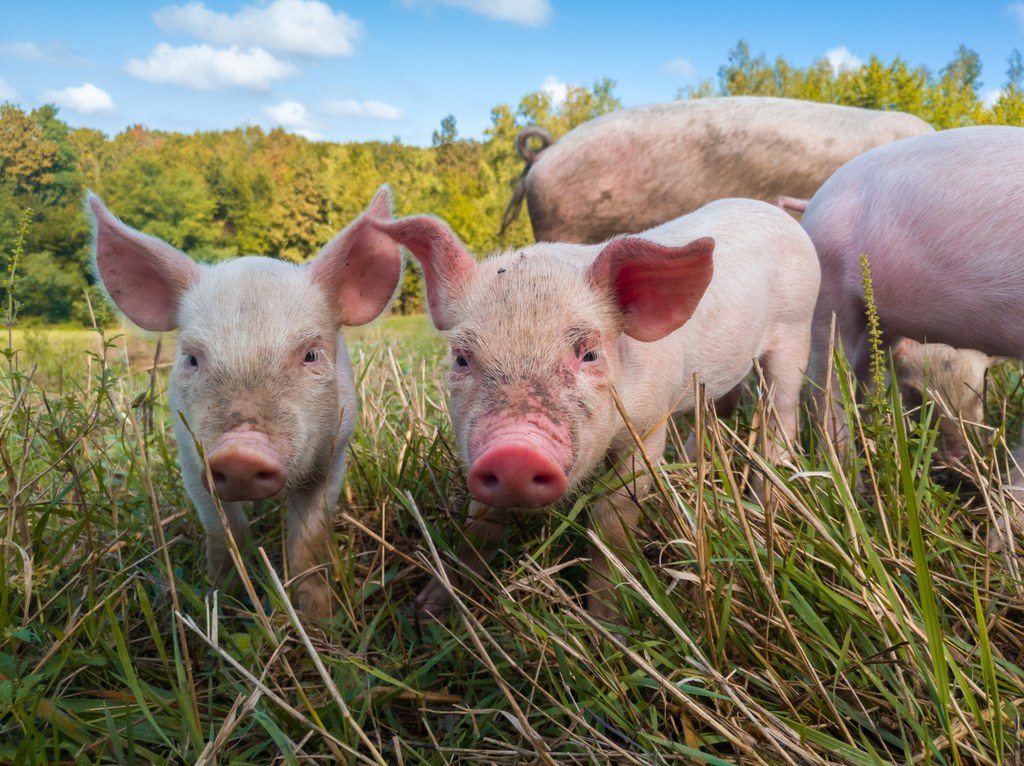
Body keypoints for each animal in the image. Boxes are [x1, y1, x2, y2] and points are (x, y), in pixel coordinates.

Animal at [88, 188, 401, 618]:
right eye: (191, 358)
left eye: (311, 355)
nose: (240, 452)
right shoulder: (191, 458)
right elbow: (225, 532)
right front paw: (220, 599)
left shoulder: (334, 452)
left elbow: (308, 538)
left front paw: (321, 618)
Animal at [372, 195, 819, 614]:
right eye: (462, 358)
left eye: (589, 354)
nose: (514, 451)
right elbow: (479, 522)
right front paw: (428, 609)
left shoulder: (647, 426)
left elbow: (611, 519)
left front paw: (609, 622)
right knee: (716, 409)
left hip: (798, 327)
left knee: (782, 412)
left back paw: (764, 503)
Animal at [798, 126, 1024, 548]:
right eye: (919, 396)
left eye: (983, 389)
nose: (960, 460)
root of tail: (817, 200)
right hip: (828, 290)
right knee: (826, 388)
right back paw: (850, 494)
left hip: (881, 320)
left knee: (865, 380)